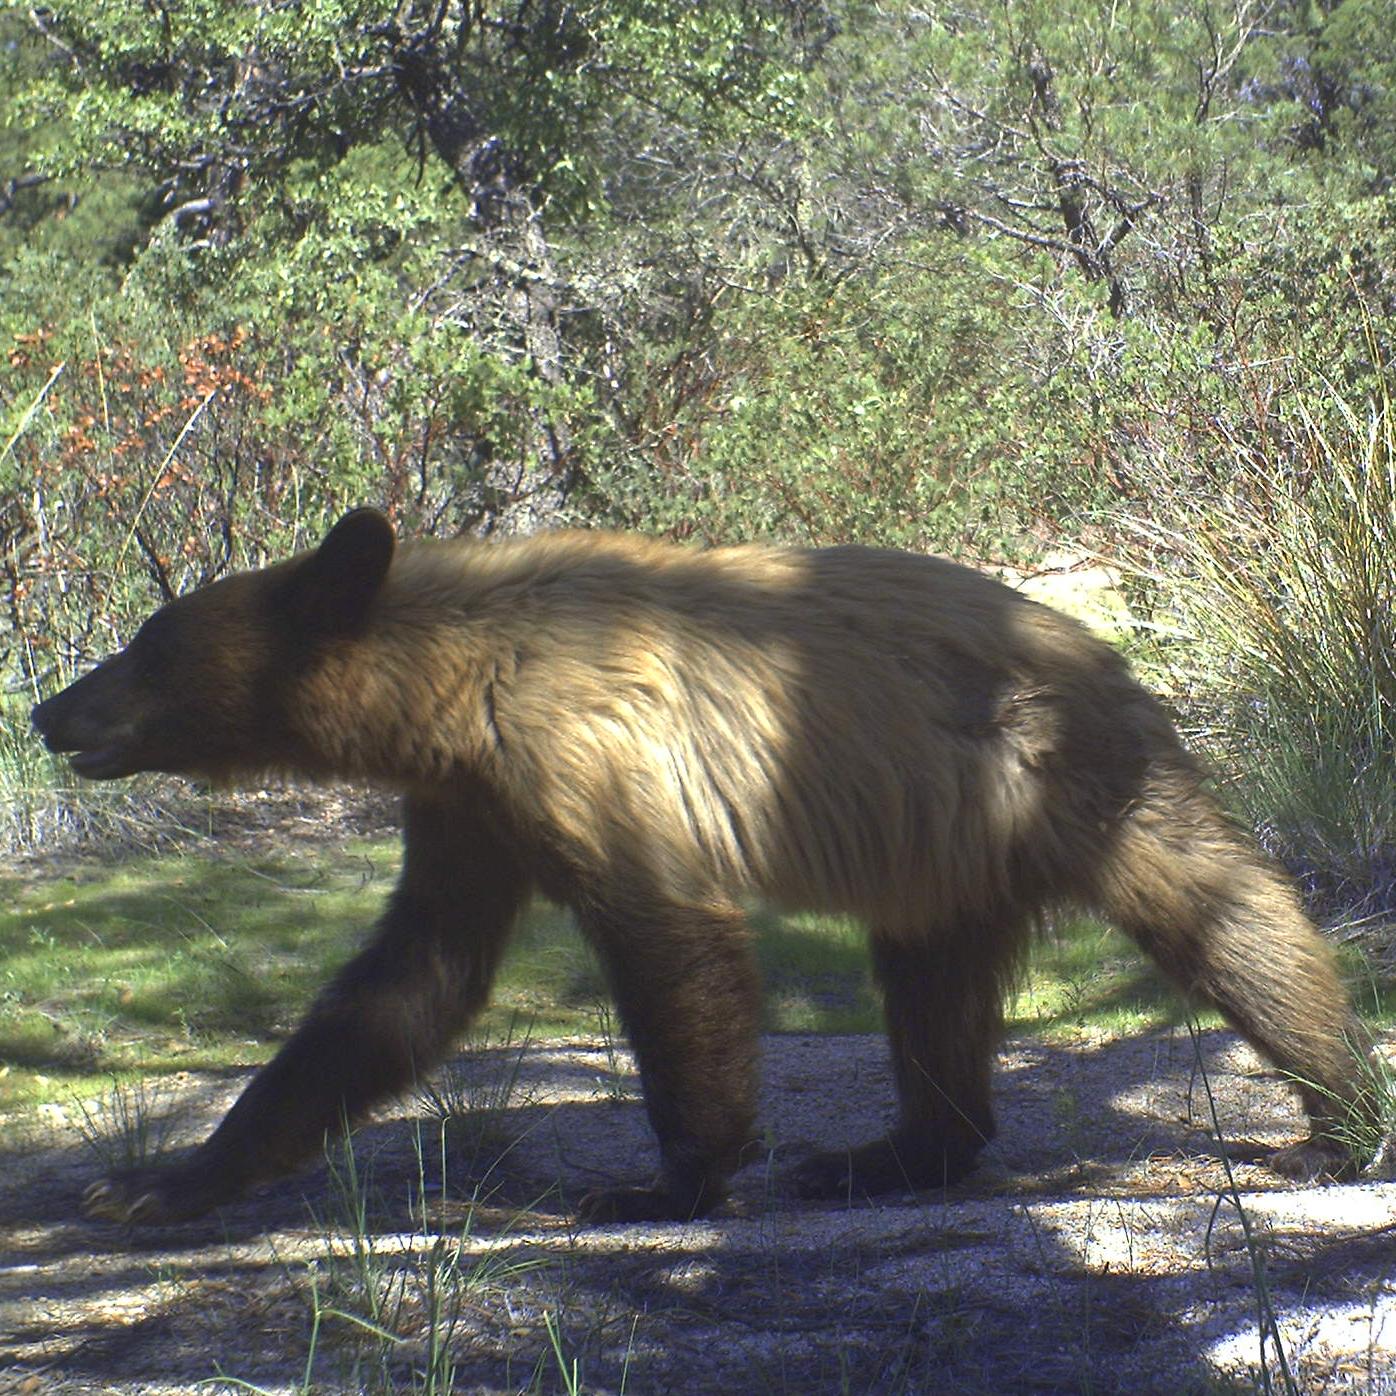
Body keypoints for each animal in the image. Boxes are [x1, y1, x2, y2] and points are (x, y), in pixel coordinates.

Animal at [31, 508, 1374, 1225]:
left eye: (147, 646)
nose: (47, 710)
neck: (456, 676)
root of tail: (1107, 648)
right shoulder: (470, 807)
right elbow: (408, 978)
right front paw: (161, 1183)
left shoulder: (580, 759)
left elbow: (675, 948)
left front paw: (662, 1182)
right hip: (940, 850)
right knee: (931, 991)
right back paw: (881, 1153)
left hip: (1062, 781)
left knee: (1226, 918)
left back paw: (1337, 1115)